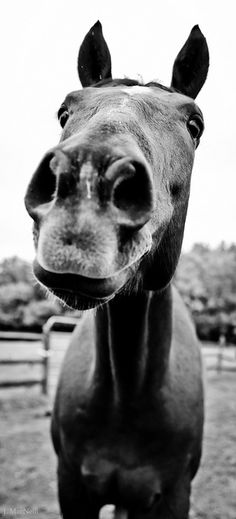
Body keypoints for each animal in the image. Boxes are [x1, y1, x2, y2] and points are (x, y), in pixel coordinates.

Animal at [24, 18, 208, 516]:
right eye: (64, 112)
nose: (86, 183)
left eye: (194, 124)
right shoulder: (72, 486)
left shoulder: (174, 496)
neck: (129, 395)